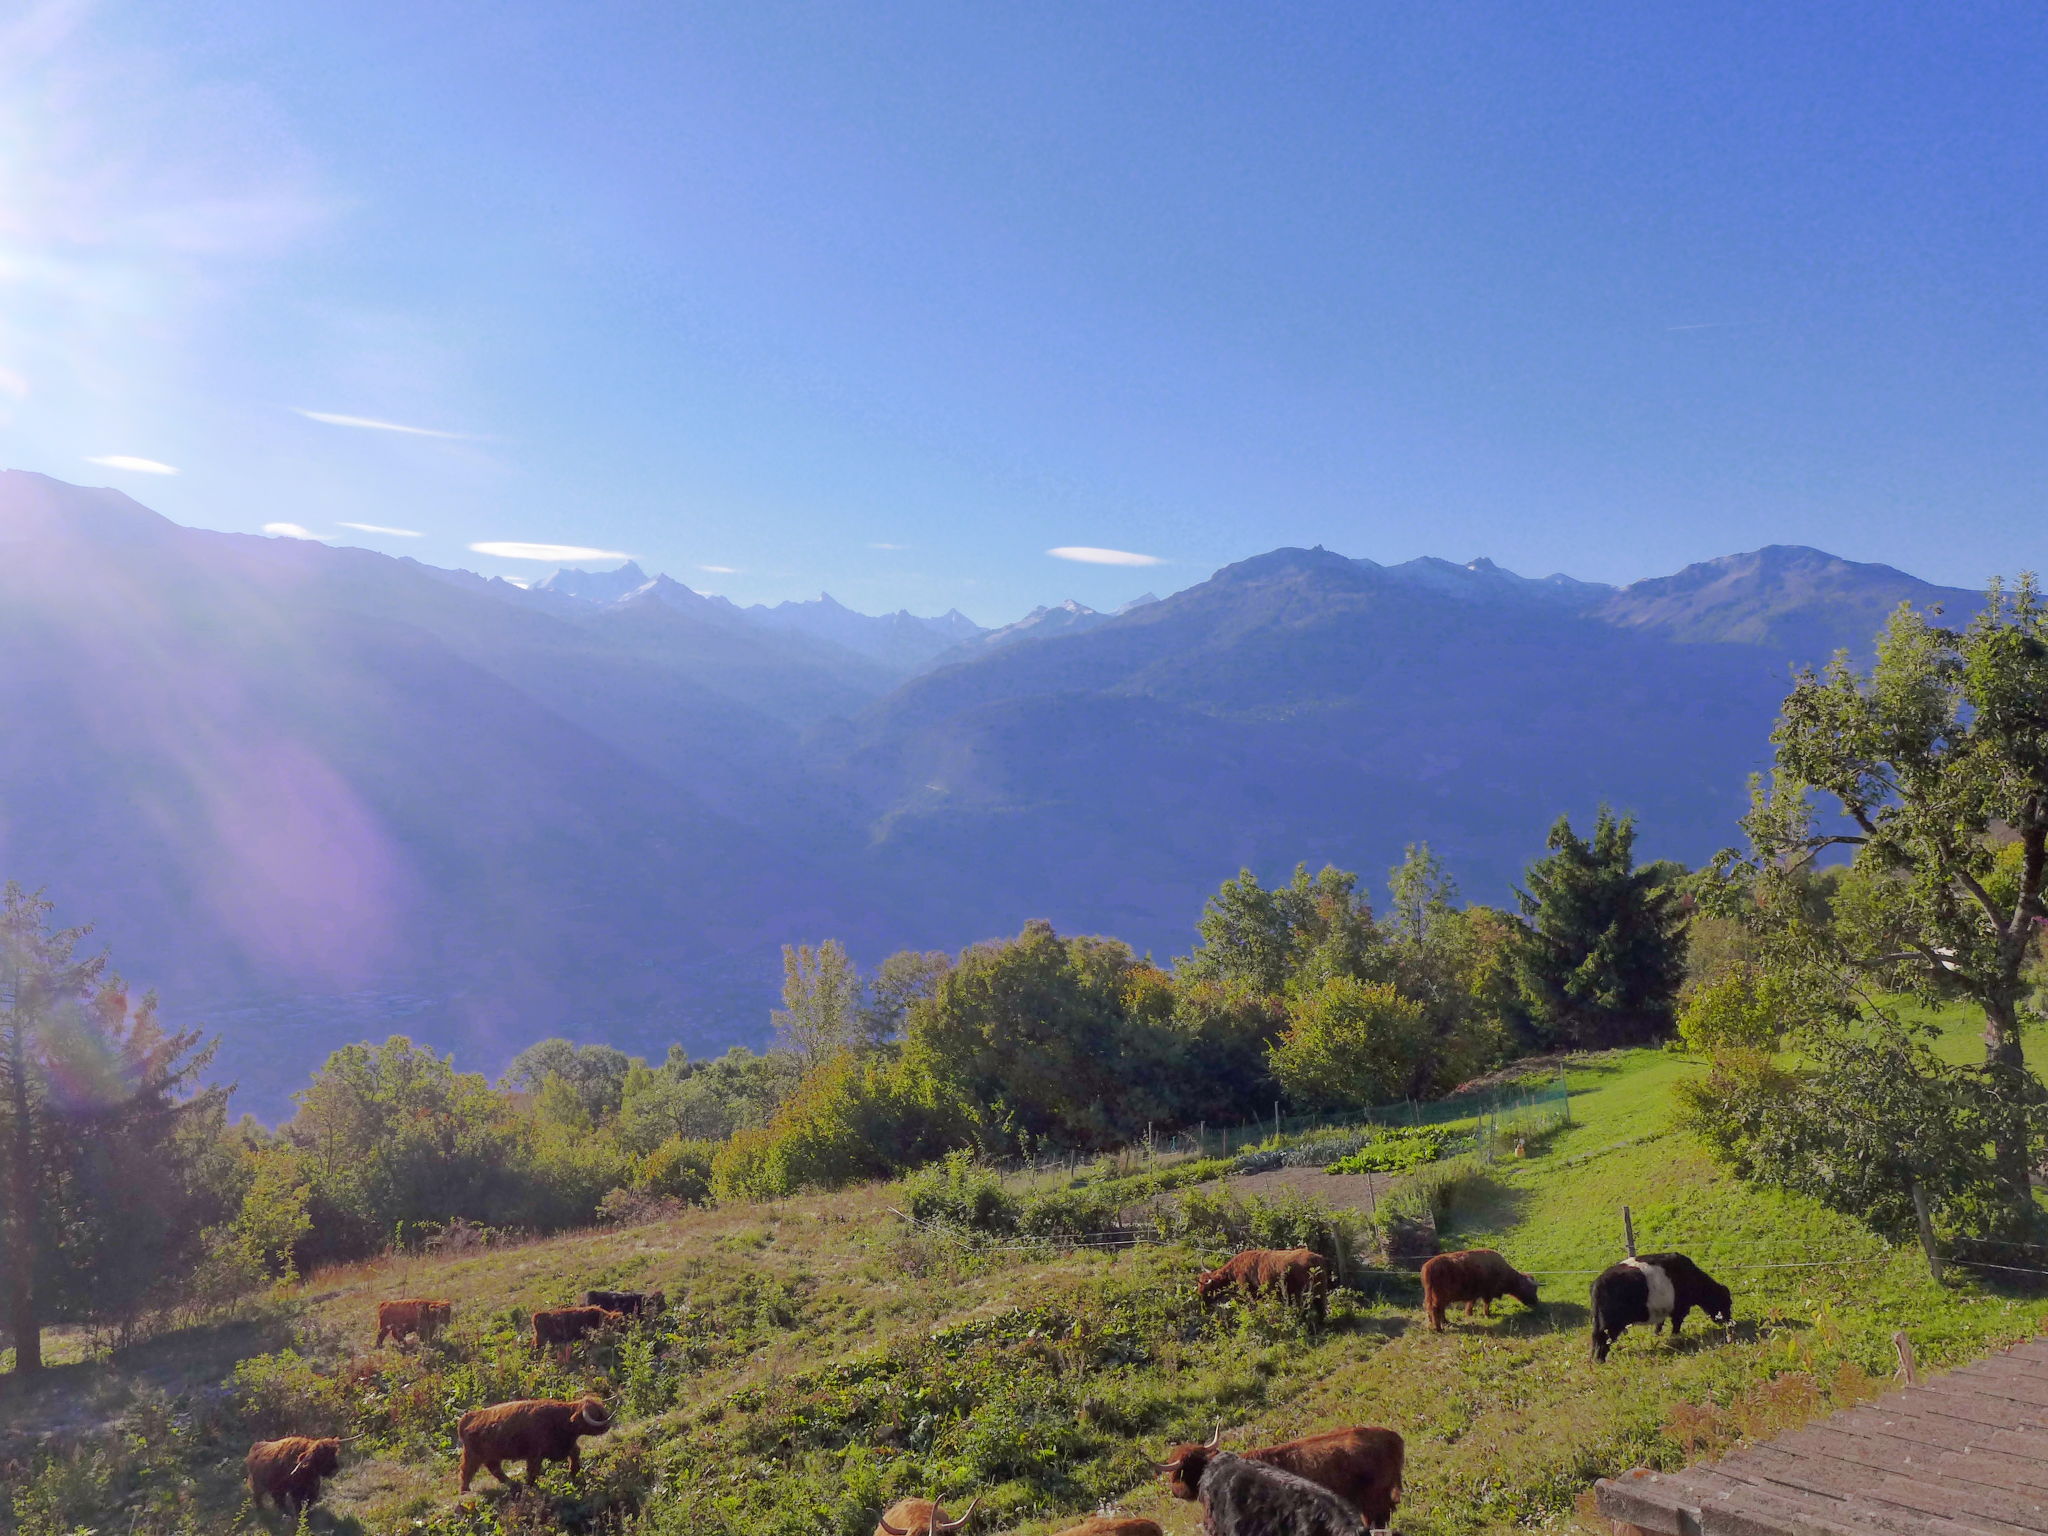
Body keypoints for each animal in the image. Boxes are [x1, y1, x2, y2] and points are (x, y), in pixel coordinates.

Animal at [462, 1392, 614, 1490]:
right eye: (597, 1414)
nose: (608, 1424)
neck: (560, 1419)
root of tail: (466, 1419)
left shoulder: (566, 1446)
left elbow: (575, 1454)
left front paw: (572, 1474)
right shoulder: (534, 1454)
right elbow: (532, 1471)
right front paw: (530, 1486)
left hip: (491, 1457)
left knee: (495, 1470)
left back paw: (513, 1484)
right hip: (473, 1456)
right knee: (466, 1471)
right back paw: (465, 1490)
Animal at [1196, 1253, 1335, 1327]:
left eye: (1205, 1289)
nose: (1203, 1304)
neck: (1234, 1270)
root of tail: (1317, 1257)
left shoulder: (1249, 1291)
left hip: (1303, 1292)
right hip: (1320, 1289)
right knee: (1321, 1306)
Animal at [1581, 1253, 1728, 1368]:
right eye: (1727, 1302)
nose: (1729, 1322)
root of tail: (1597, 1283)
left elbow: (1660, 1324)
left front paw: (1657, 1335)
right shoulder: (1680, 1308)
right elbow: (1676, 1325)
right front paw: (1675, 1337)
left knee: (1596, 1339)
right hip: (1610, 1325)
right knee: (1603, 1340)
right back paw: (1600, 1361)